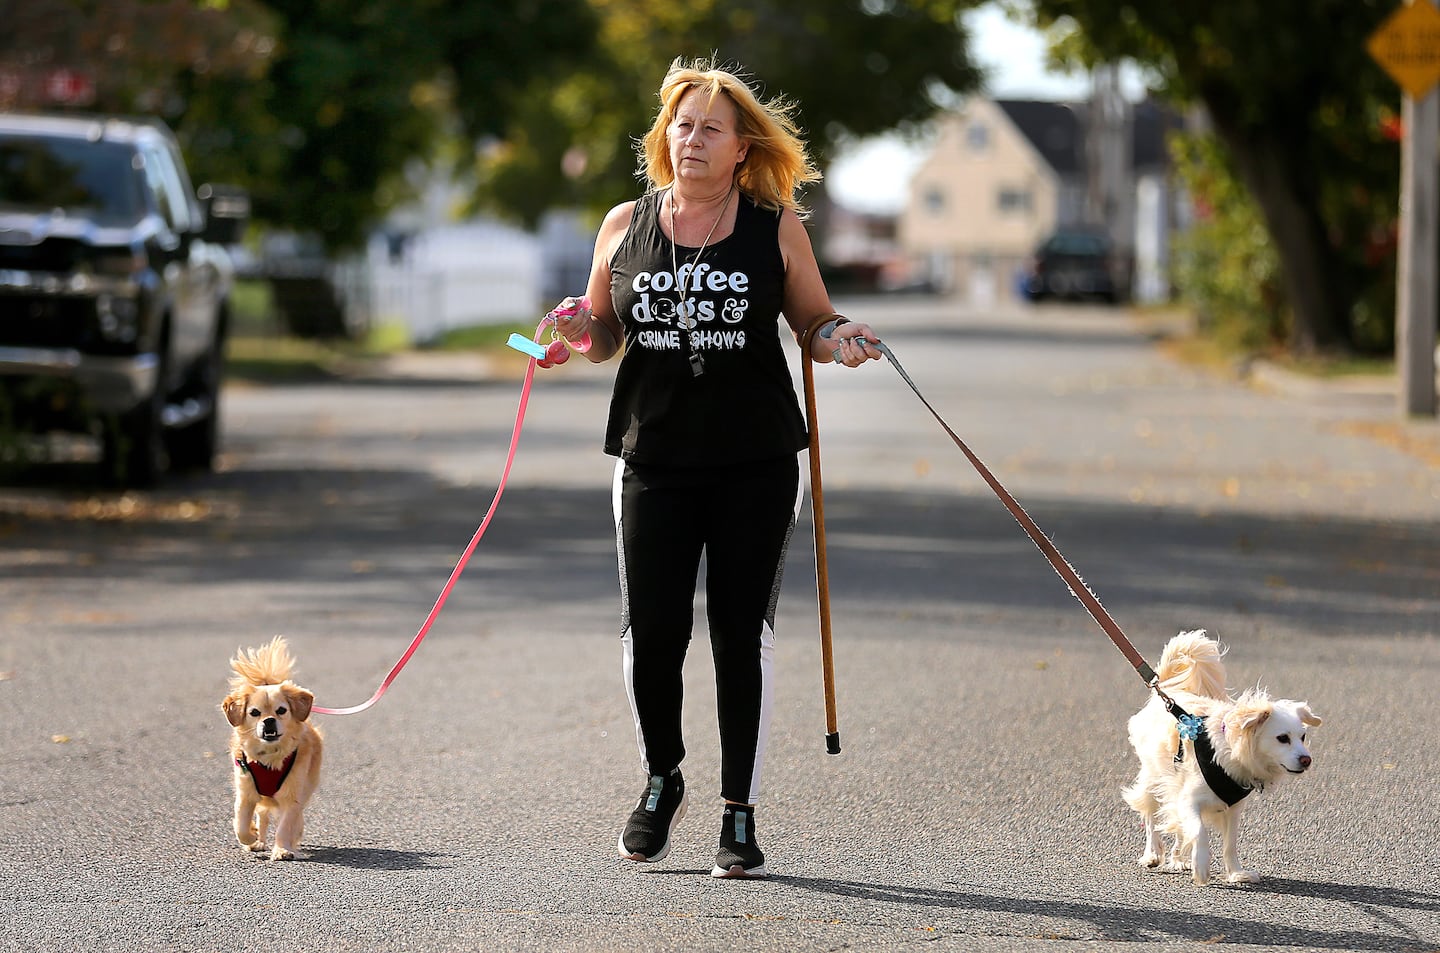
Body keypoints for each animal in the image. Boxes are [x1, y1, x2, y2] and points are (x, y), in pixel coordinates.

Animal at [221, 639, 324, 863]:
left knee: (295, 818)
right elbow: (241, 824)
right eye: (254, 712)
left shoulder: (292, 795)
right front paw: (251, 836)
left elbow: (285, 826)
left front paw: (283, 849)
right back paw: (258, 840)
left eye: (281, 710)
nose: (268, 720)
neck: (269, 757)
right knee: (263, 815)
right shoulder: (245, 792)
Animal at [1123, 633, 1319, 886]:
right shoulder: (1189, 800)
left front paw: (1236, 872)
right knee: (1151, 817)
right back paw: (1153, 854)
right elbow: (1199, 831)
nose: (1307, 760)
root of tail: (1168, 692)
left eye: (1303, 737)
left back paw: (1178, 859)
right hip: (1154, 778)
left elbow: (1230, 843)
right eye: (1282, 738)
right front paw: (1201, 866)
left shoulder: (1233, 808)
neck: (1228, 752)